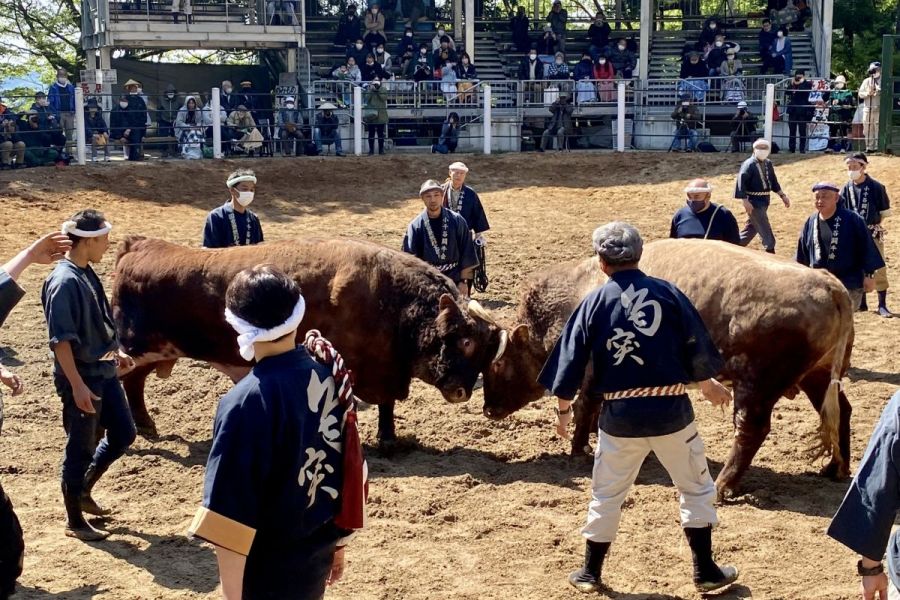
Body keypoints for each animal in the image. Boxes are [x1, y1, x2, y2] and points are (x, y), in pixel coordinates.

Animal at [110, 236, 506, 440]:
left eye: (486, 351)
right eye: (465, 341)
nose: (462, 391)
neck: (389, 296)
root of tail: (138, 246)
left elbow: (386, 405)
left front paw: (389, 438)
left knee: (134, 382)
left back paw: (145, 424)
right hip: (136, 350)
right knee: (128, 380)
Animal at [482, 239, 856, 496]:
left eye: (498, 366)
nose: (488, 410)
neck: (578, 293)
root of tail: (829, 285)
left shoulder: (592, 373)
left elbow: (585, 406)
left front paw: (578, 451)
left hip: (756, 386)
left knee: (752, 429)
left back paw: (724, 485)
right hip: (818, 378)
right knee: (840, 413)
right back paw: (834, 468)